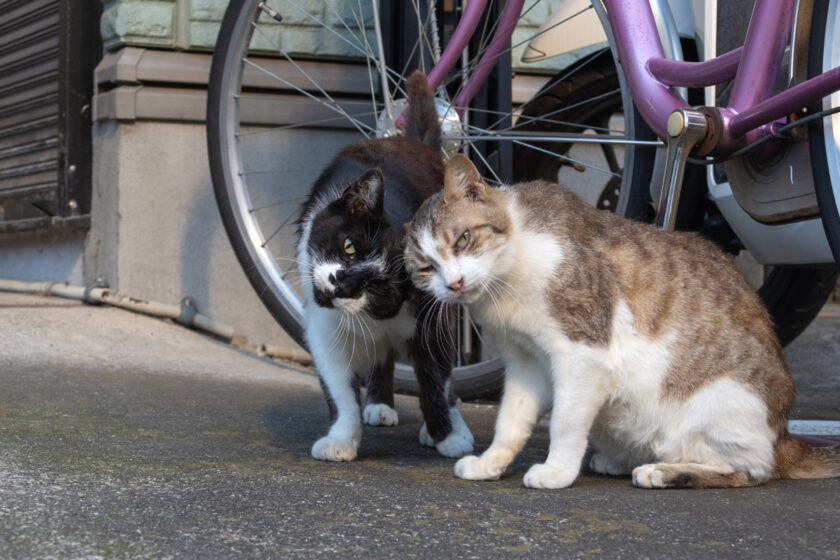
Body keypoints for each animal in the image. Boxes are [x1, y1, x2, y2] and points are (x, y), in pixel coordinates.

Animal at [298, 71, 476, 460]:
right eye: (349, 246)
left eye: (378, 286)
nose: (339, 282)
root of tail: (409, 141)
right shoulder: (326, 328)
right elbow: (340, 386)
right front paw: (340, 439)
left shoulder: (431, 316)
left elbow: (436, 377)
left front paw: (448, 436)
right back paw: (379, 404)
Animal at [404, 155, 836, 488]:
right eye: (426, 268)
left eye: (463, 239)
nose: (454, 283)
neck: (507, 282)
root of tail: (783, 435)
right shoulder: (526, 361)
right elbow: (511, 419)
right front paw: (491, 463)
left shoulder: (581, 356)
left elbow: (564, 421)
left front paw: (557, 471)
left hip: (720, 403)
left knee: (746, 472)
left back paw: (661, 471)